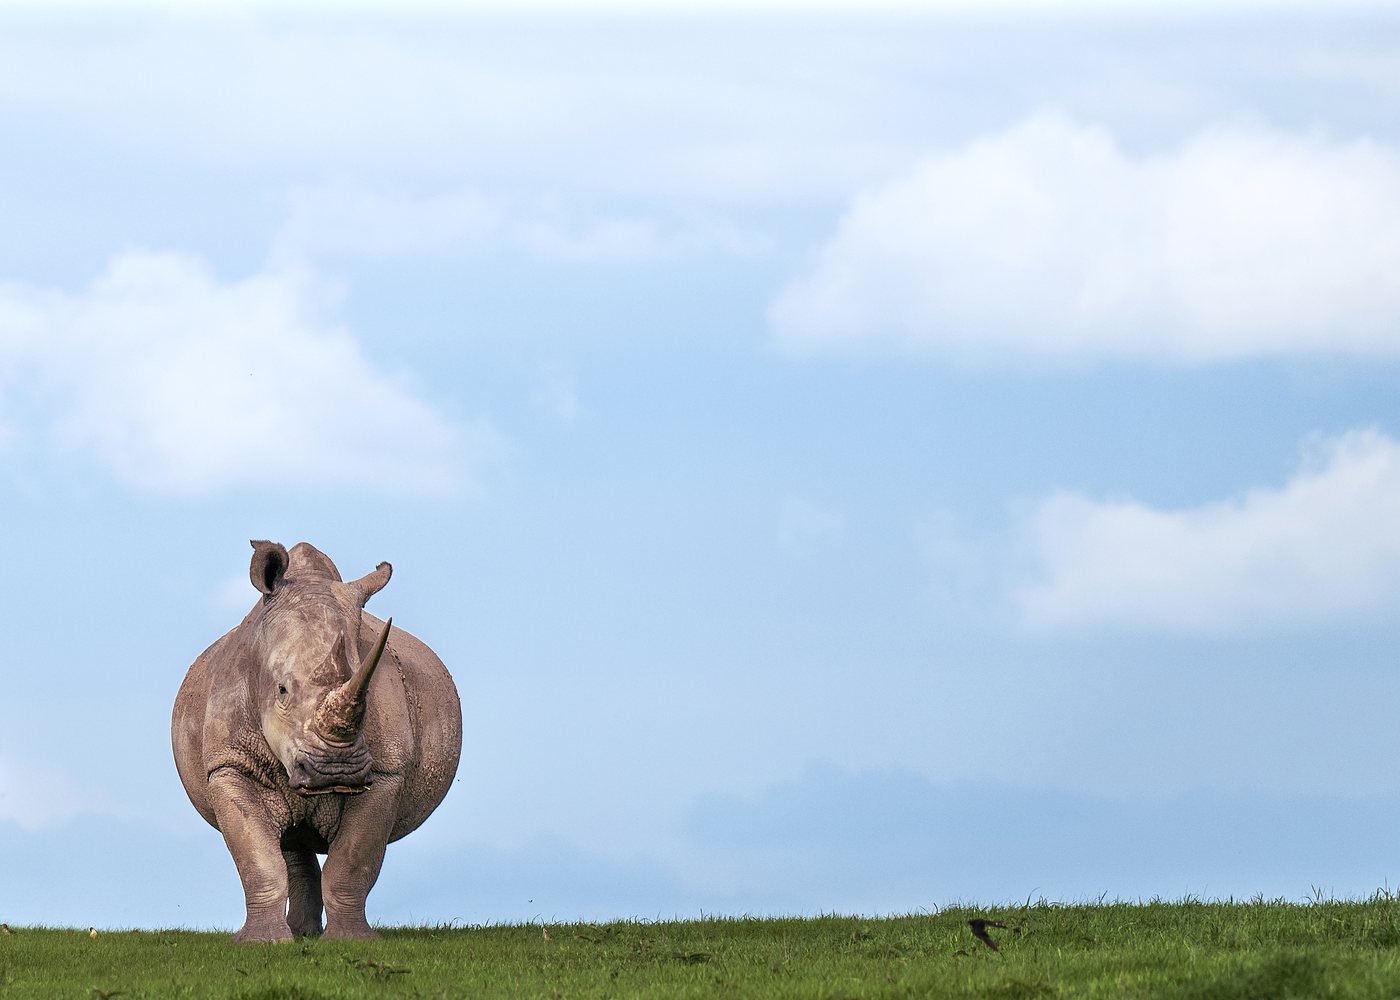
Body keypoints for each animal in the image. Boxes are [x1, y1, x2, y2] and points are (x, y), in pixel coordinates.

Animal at [172, 540, 462, 942]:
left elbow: (351, 863)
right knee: (289, 842)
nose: (334, 770)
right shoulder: (230, 764)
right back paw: (299, 934)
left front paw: (351, 941)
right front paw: (261, 943)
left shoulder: (385, 774)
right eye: (281, 690)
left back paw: (306, 934)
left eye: (366, 691)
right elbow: (259, 859)